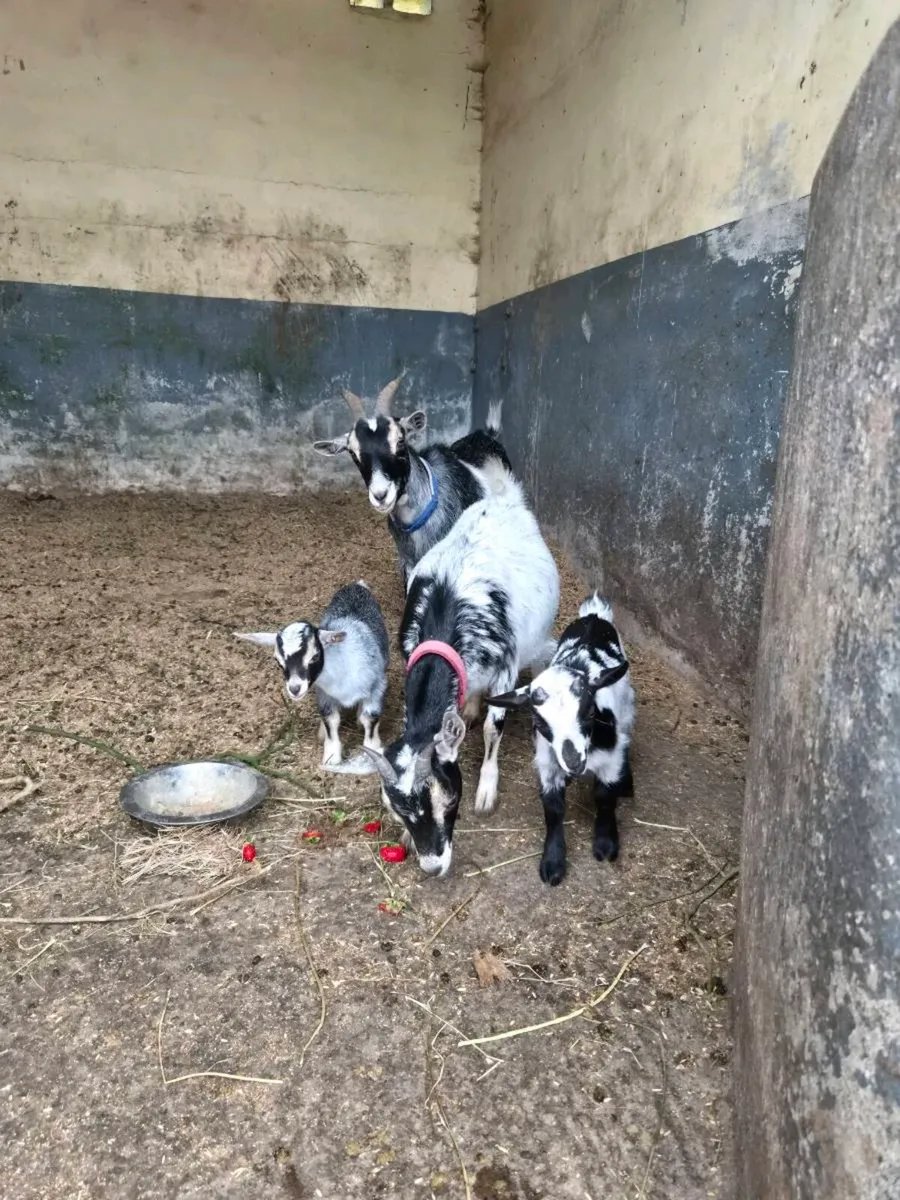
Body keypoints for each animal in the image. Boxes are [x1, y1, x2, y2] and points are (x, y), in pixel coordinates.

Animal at [234, 581, 389, 767]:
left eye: (315, 656)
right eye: (278, 660)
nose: (294, 688)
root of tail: (356, 584)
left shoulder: (377, 686)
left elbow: (370, 718)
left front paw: (371, 751)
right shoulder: (323, 693)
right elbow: (330, 719)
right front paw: (331, 756)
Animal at [327, 474, 560, 877]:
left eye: (449, 802)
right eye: (398, 811)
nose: (433, 867)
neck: (446, 614)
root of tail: (502, 496)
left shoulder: (505, 670)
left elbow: (492, 730)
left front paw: (486, 789)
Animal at [488, 594, 635, 886]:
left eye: (589, 712)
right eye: (540, 723)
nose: (574, 762)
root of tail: (594, 615)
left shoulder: (610, 758)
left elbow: (605, 795)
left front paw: (606, 843)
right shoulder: (547, 763)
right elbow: (553, 807)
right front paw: (553, 862)